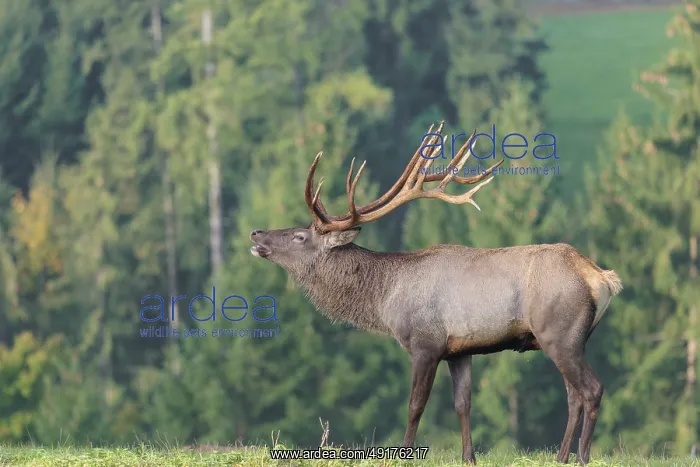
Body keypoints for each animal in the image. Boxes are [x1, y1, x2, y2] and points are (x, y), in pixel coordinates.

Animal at [249, 122, 622, 465]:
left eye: (300, 236)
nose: (256, 233)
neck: (386, 299)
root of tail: (601, 278)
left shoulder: (425, 342)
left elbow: (416, 404)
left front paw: (405, 452)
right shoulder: (460, 349)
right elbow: (463, 404)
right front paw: (469, 456)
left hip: (559, 332)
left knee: (592, 389)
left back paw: (582, 456)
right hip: (570, 340)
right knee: (573, 394)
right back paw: (560, 456)